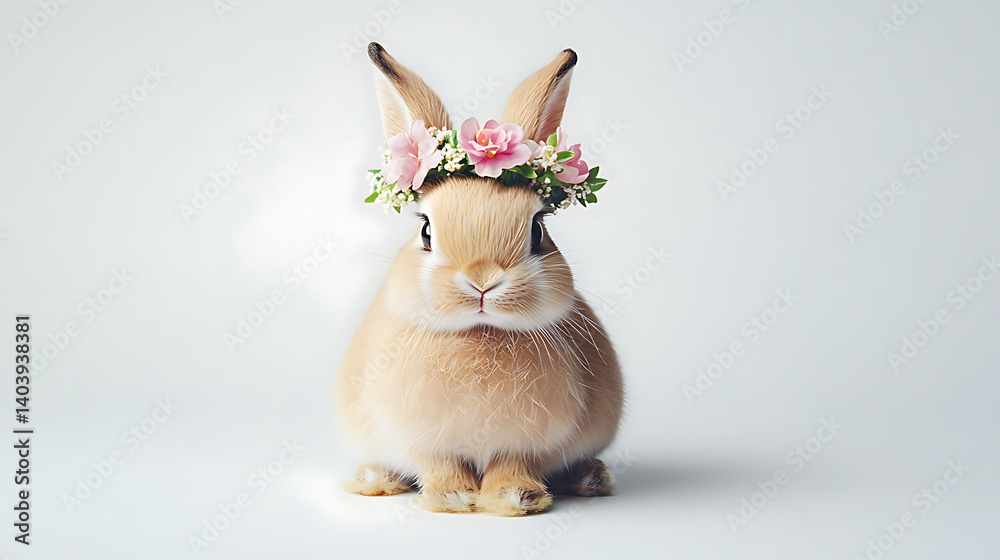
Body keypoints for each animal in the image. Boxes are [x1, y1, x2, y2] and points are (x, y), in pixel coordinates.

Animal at [336, 42, 624, 516]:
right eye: (426, 231)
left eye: (538, 231)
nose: (482, 280)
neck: (480, 332)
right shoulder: (422, 438)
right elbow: (437, 464)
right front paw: (451, 498)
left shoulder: (525, 442)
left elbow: (513, 464)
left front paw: (515, 498)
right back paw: (373, 479)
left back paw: (590, 478)